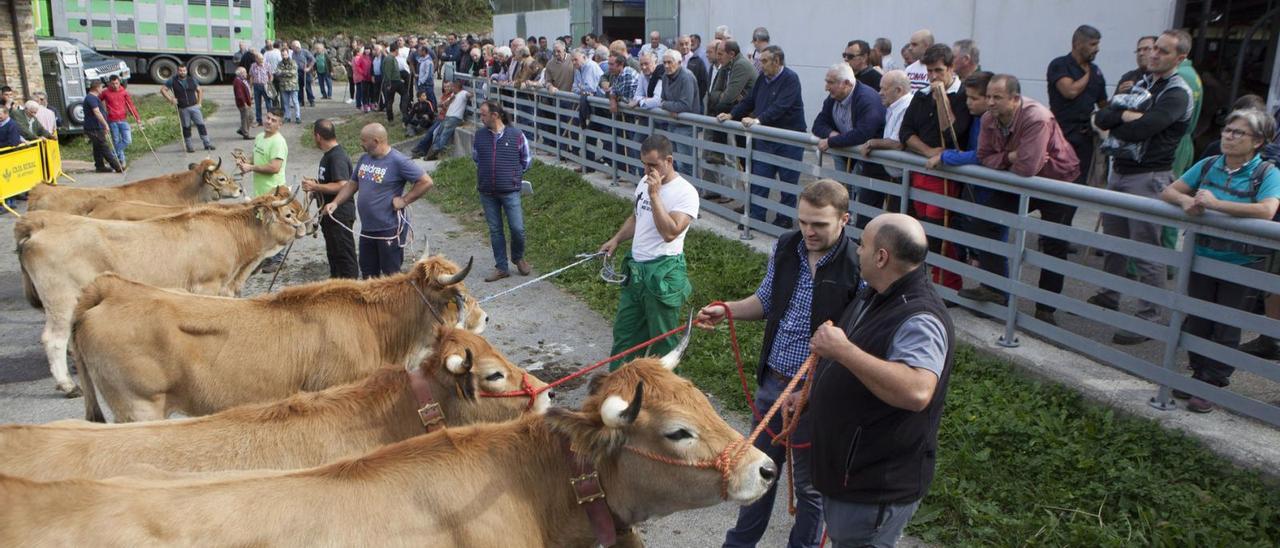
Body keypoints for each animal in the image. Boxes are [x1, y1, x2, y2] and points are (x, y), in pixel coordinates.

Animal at [19, 185, 312, 396]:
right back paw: (68, 385)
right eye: (289, 214)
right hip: (61, 299)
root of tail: (37, 229)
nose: (309, 226)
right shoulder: (206, 285)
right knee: (53, 339)